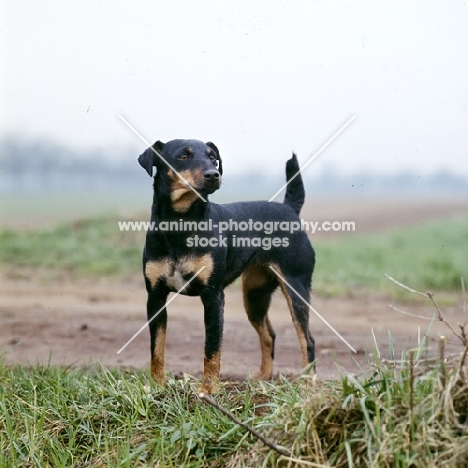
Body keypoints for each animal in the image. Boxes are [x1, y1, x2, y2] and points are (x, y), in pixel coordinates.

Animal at [138, 140, 314, 394]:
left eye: (213, 157)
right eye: (183, 157)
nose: (214, 174)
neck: (180, 224)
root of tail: (290, 209)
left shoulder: (213, 296)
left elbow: (211, 348)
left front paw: (208, 389)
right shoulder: (155, 297)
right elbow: (157, 349)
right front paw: (157, 386)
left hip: (295, 288)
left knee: (307, 339)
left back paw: (309, 384)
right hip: (254, 296)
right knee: (269, 335)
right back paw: (263, 376)